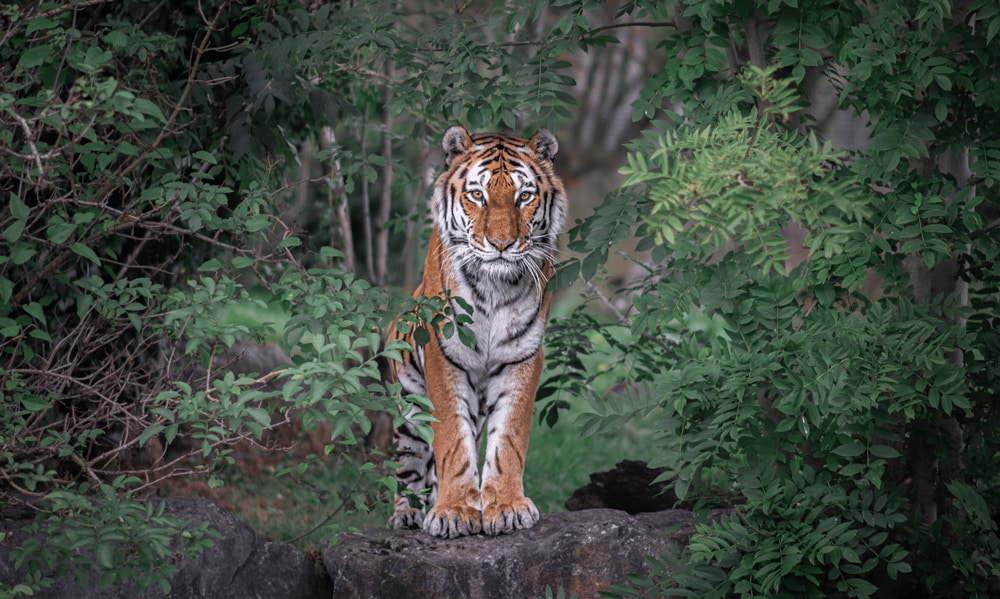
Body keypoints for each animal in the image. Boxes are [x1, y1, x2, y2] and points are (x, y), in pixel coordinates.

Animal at [385, 125, 567, 539]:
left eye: (524, 196)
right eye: (477, 195)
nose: (501, 245)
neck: (495, 288)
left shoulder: (522, 357)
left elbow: (509, 438)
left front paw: (507, 506)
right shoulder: (443, 355)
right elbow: (453, 439)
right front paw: (453, 512)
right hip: (407, 406)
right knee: (411, 465)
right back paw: (408, 514)